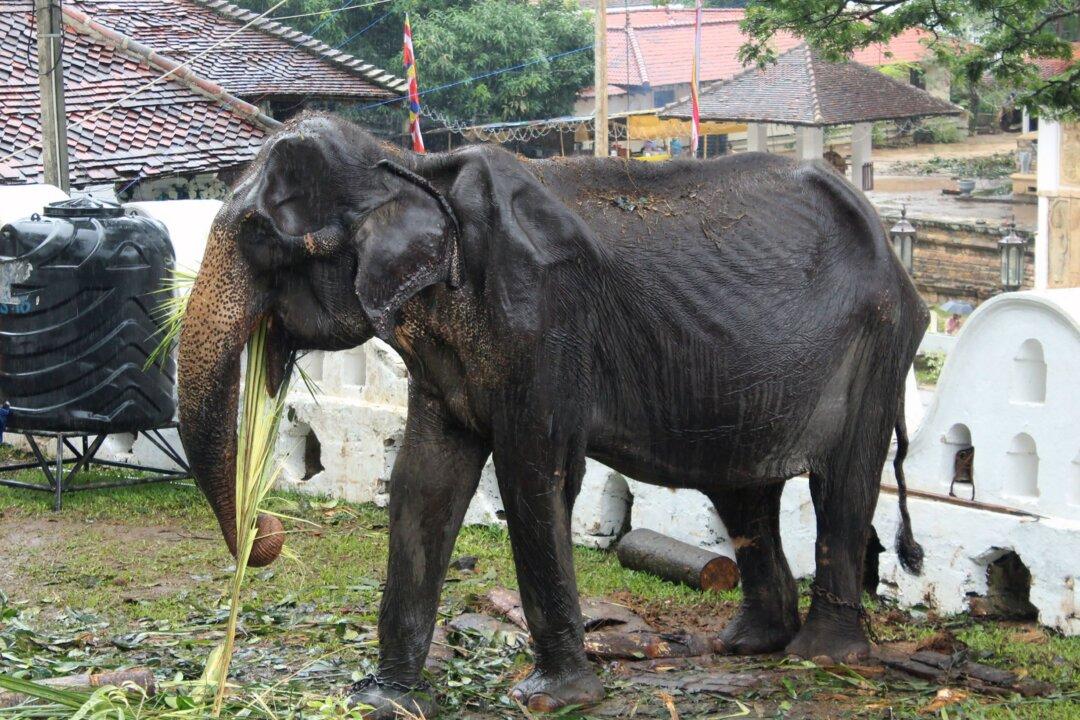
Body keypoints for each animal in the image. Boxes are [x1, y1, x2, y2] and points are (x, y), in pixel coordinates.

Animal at [177, 112, 928, 718]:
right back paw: (748, 645)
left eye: (259, 237)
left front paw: (551, 698)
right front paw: (384, 700)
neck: (413, 170)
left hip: (878, 345)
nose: (270, 529)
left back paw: (823, 656)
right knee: (743, 491)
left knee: (841, 484)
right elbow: (424, 483)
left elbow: (536, 477)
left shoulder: (544, 320)